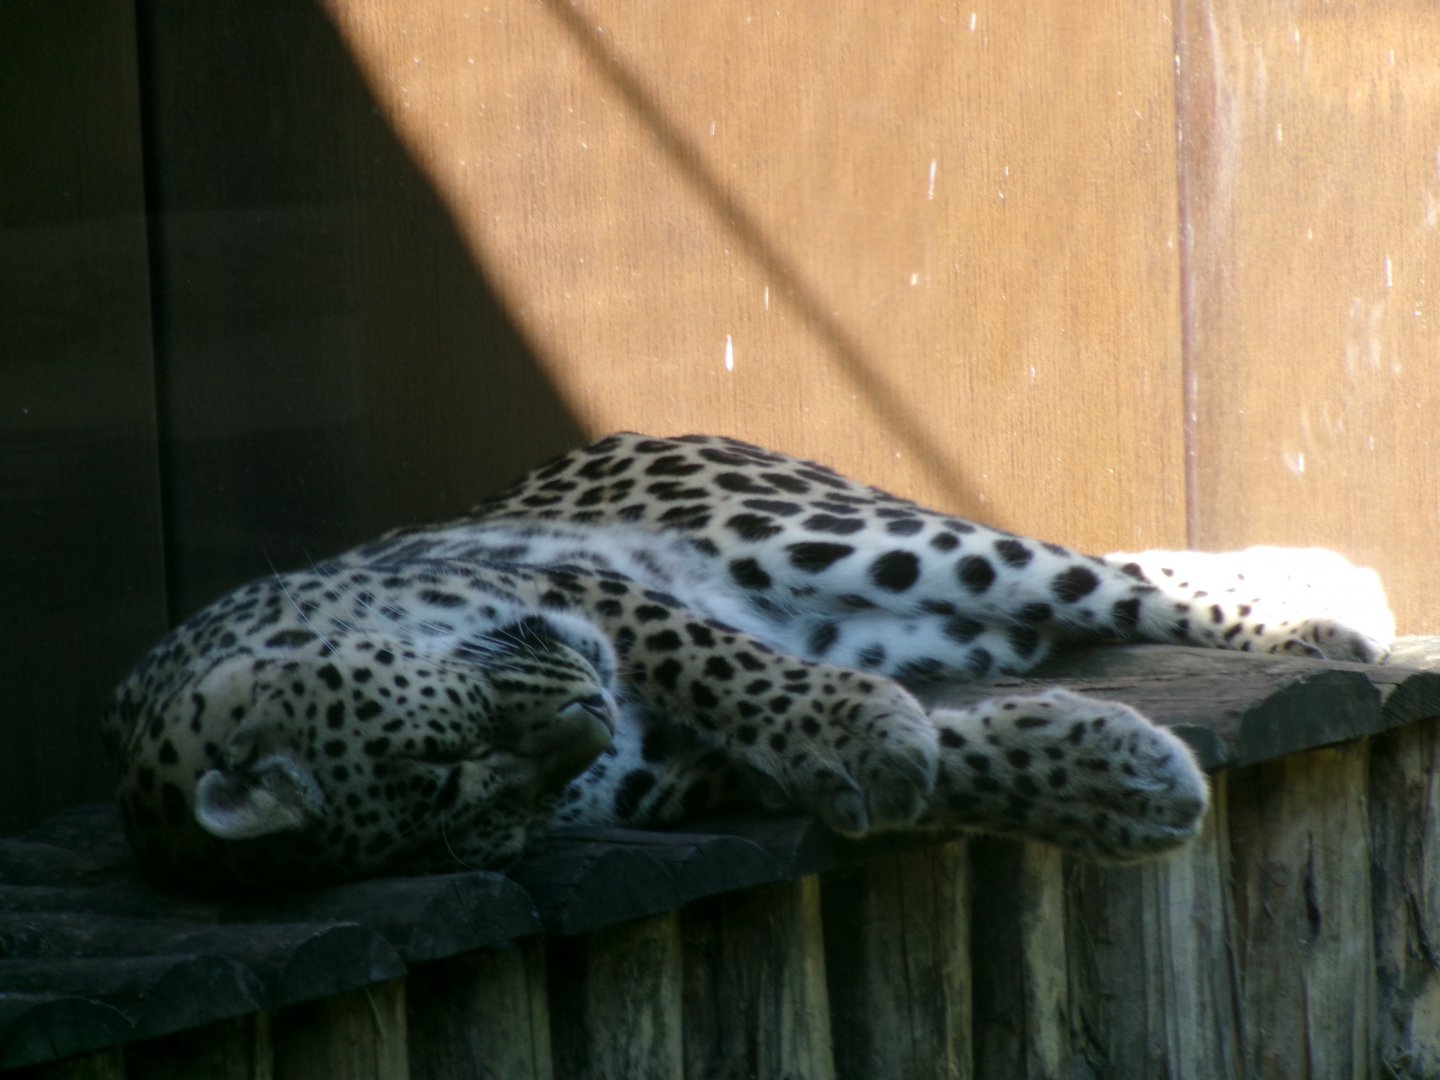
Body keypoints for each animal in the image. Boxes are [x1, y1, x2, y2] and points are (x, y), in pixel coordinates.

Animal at [103, 433, 1394, 889]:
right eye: (488, 806)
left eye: (450, 742)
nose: (590, 710)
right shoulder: (673, 779)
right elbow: (949, 758)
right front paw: (1104, 782)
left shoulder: (580, 592)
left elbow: (722, 663)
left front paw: (856, 729)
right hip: (943, 624)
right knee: (1070, 608)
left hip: (826, 529)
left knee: (1090, 572)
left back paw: (1330, 610)